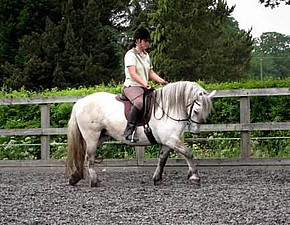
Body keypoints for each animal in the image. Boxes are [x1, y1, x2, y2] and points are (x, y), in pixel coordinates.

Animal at [65, 81, 215, 186]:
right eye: (196, 111)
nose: (195, 130)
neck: (169, 109)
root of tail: (80, 102)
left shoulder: (168, 141)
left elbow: (162, 159)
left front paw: (157, 178)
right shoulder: (171, 139)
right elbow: (188, 153)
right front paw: (195, 177)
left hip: (100, 136)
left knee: (83, 155)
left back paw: (75, 177)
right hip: (92, 136)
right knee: (88, 157)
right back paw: (94, 181)